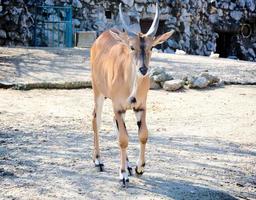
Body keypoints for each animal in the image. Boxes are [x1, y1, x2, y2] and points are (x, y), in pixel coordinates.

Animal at [90, 1, 174, 188]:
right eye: (132, 47)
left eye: (152, 47)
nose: (143, 69)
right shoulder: (118, 107)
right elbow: (123, 139)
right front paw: (123, 176)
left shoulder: (140, 107)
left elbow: (142, 135)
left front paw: (138, 168)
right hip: (98, 92)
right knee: (96, 120)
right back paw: (98, 161)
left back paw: (128, 165)